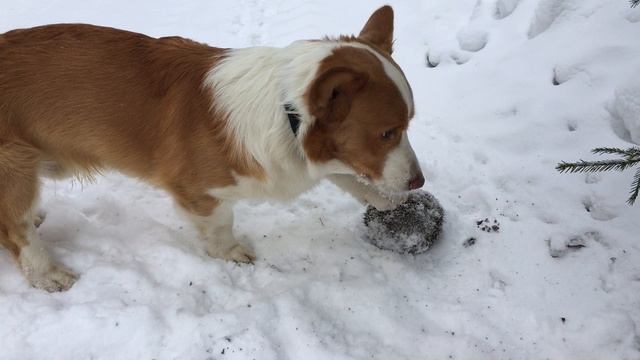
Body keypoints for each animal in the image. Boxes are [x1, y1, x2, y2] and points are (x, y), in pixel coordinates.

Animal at [1, 5, 424, 292]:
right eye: (387, 133)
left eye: (409, 124)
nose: (419, 183)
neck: (285, 112)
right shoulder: (200, 191)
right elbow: (221, 225)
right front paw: (231, 253)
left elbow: (348, 174)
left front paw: (386, 200)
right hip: (16, 166)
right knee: (15, 231)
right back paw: (47, 272)